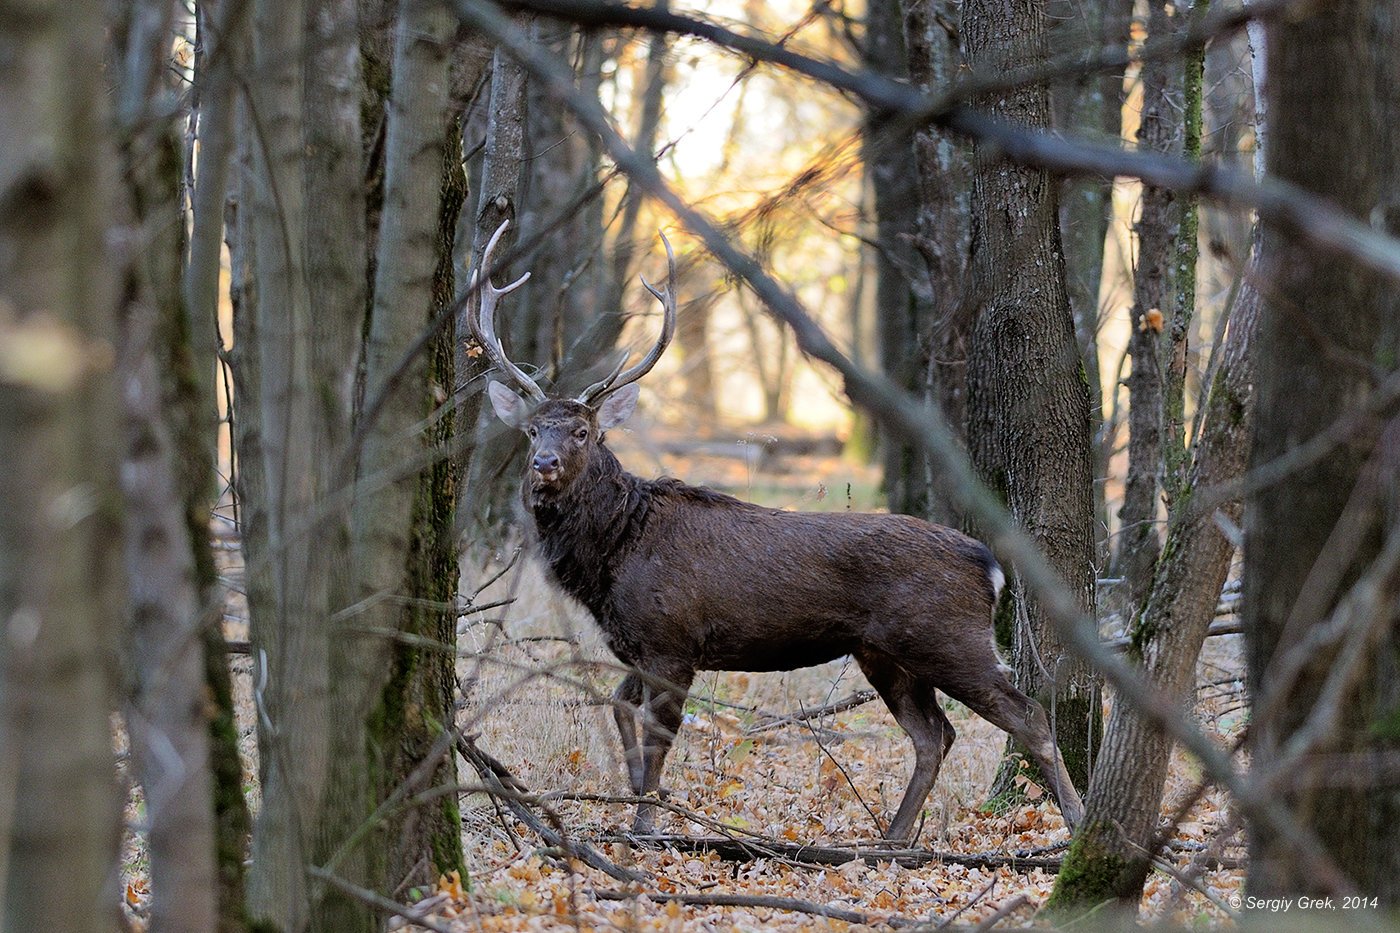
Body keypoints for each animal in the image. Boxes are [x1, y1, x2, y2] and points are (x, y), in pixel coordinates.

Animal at [476, 219, 1086, 840]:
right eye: (532, 430)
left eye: (582, 431)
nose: (543, 464)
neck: (616, 549)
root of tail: (989, 565)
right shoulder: (637, 647)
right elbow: (621, 709)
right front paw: (639, 803)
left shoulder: (673, 640)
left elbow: (658, 736)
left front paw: (648, 825)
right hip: (884, 652)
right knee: (933, 732)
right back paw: (894, 839)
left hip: (949, 638)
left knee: (1027, 715)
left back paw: (1076, 820)